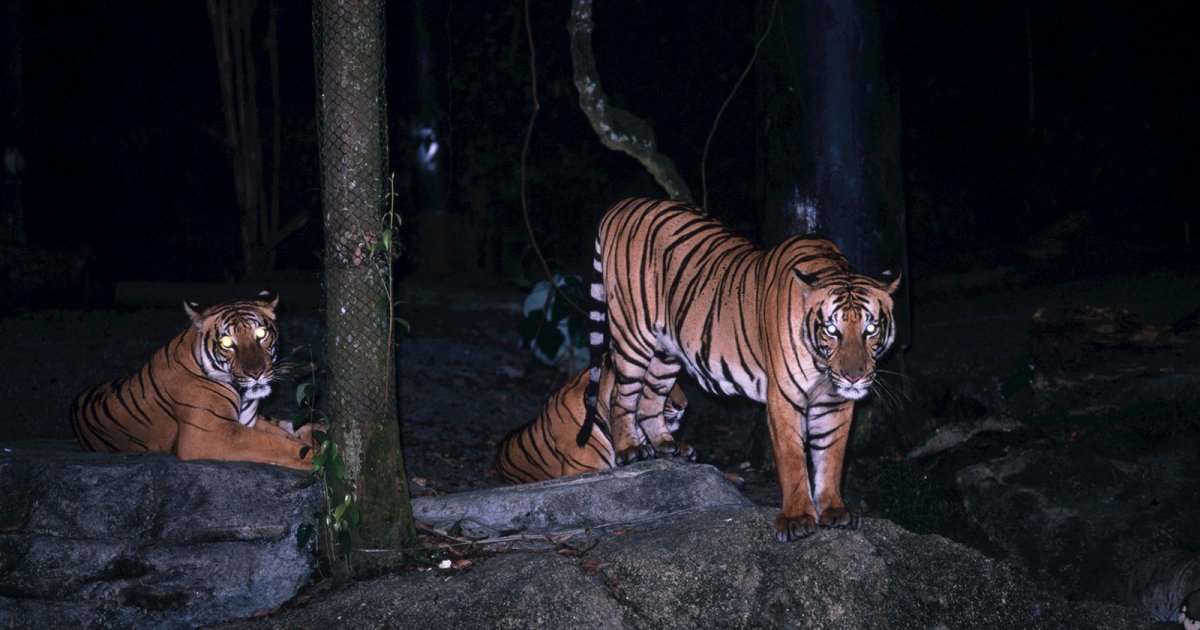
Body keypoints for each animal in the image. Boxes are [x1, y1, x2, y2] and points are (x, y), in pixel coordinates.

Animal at [68, 292, 316, 468]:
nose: (256, 373)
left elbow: (284, 436)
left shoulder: (249, 421)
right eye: (227, 343)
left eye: (261, 334)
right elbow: (278, 445)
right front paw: (318, 457)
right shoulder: (210, 433)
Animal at [580, 198, 902, 540]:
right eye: (831, 329)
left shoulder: (835, 403)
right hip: (634, 334)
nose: (854, 376)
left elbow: (831, 458)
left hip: (666, 352)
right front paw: (796, 519)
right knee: (621, 395)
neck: (822, 366)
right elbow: (793, 459)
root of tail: (625, 203)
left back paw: (668, 446)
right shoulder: (784, 398)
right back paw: (630, 449)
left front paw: (834, 510)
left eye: (870, 329)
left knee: (650, 399)